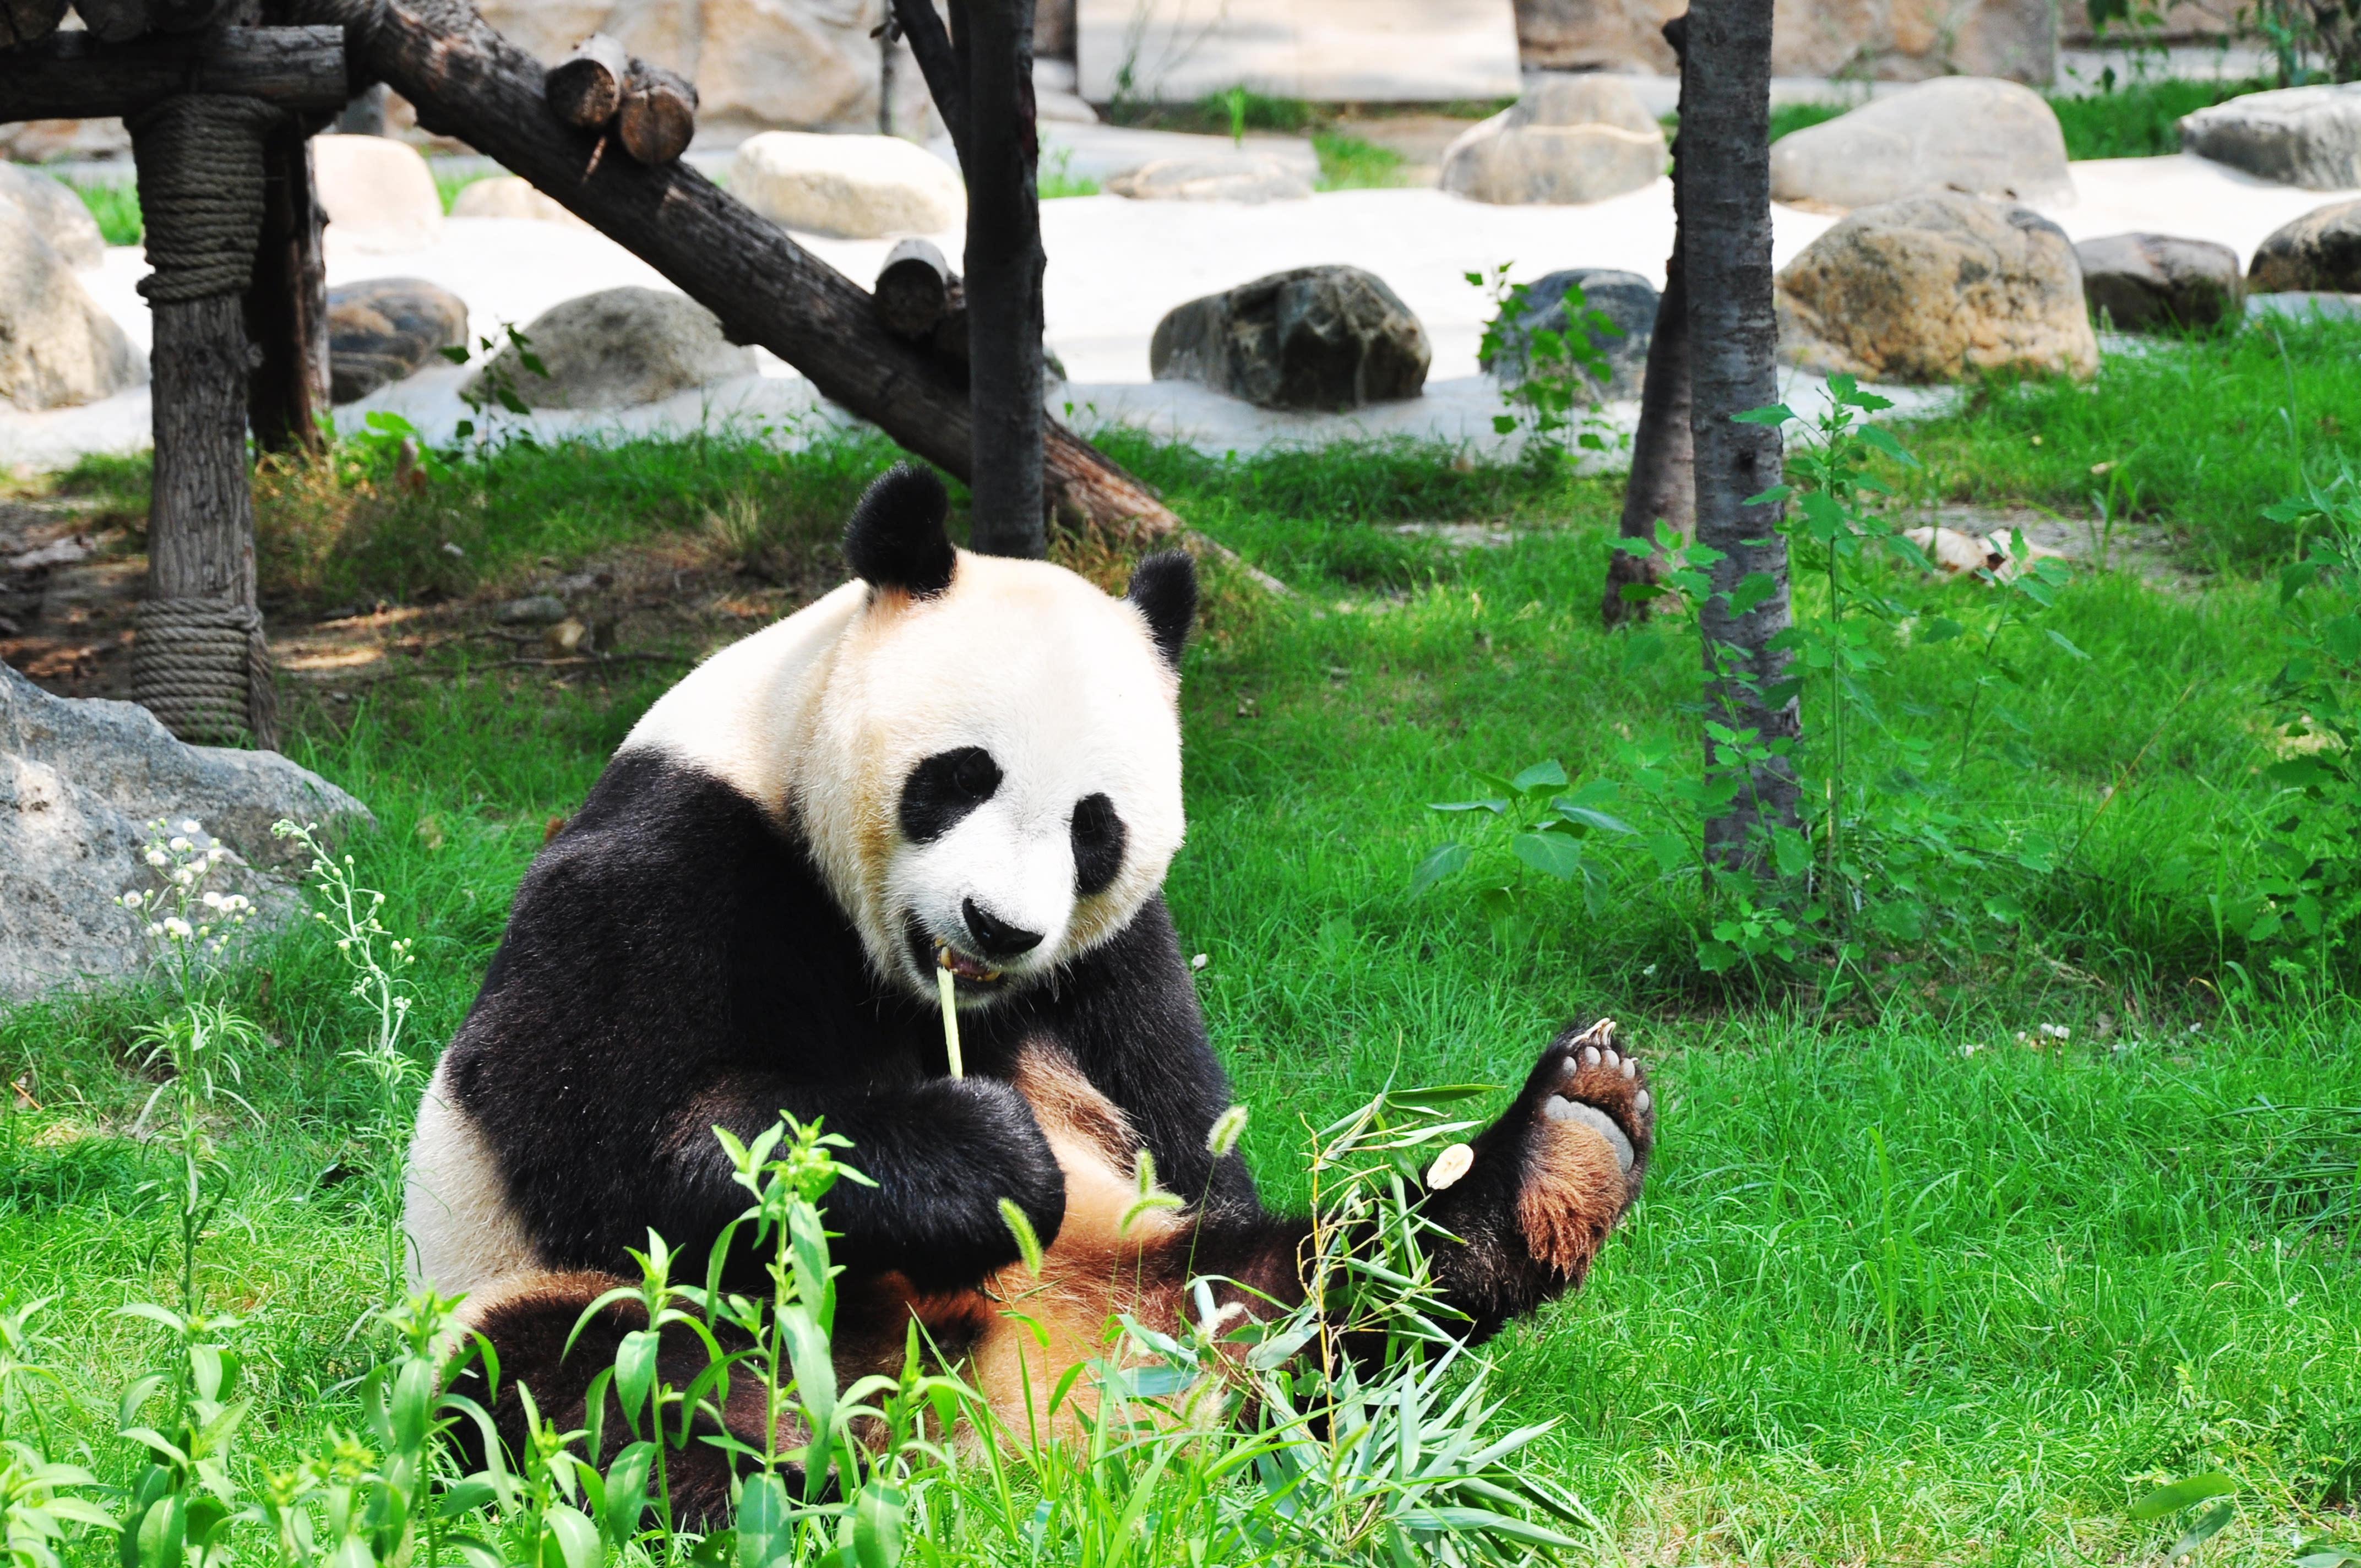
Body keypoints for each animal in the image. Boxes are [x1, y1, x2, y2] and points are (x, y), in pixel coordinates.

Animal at [406, 467, 1652, 1521]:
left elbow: (1200, 1148)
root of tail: (1024, 1417)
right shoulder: (670, 855)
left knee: (1318, 1291)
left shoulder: (1122, 960)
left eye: (1093, 828)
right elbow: (603, 1131)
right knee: (588, 1378)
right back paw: (801, 1491)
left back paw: (1564, 1146)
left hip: (1175, 1294)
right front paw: (986, 1160)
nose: (999, 927)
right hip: (595, 1311)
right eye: (960, 777)